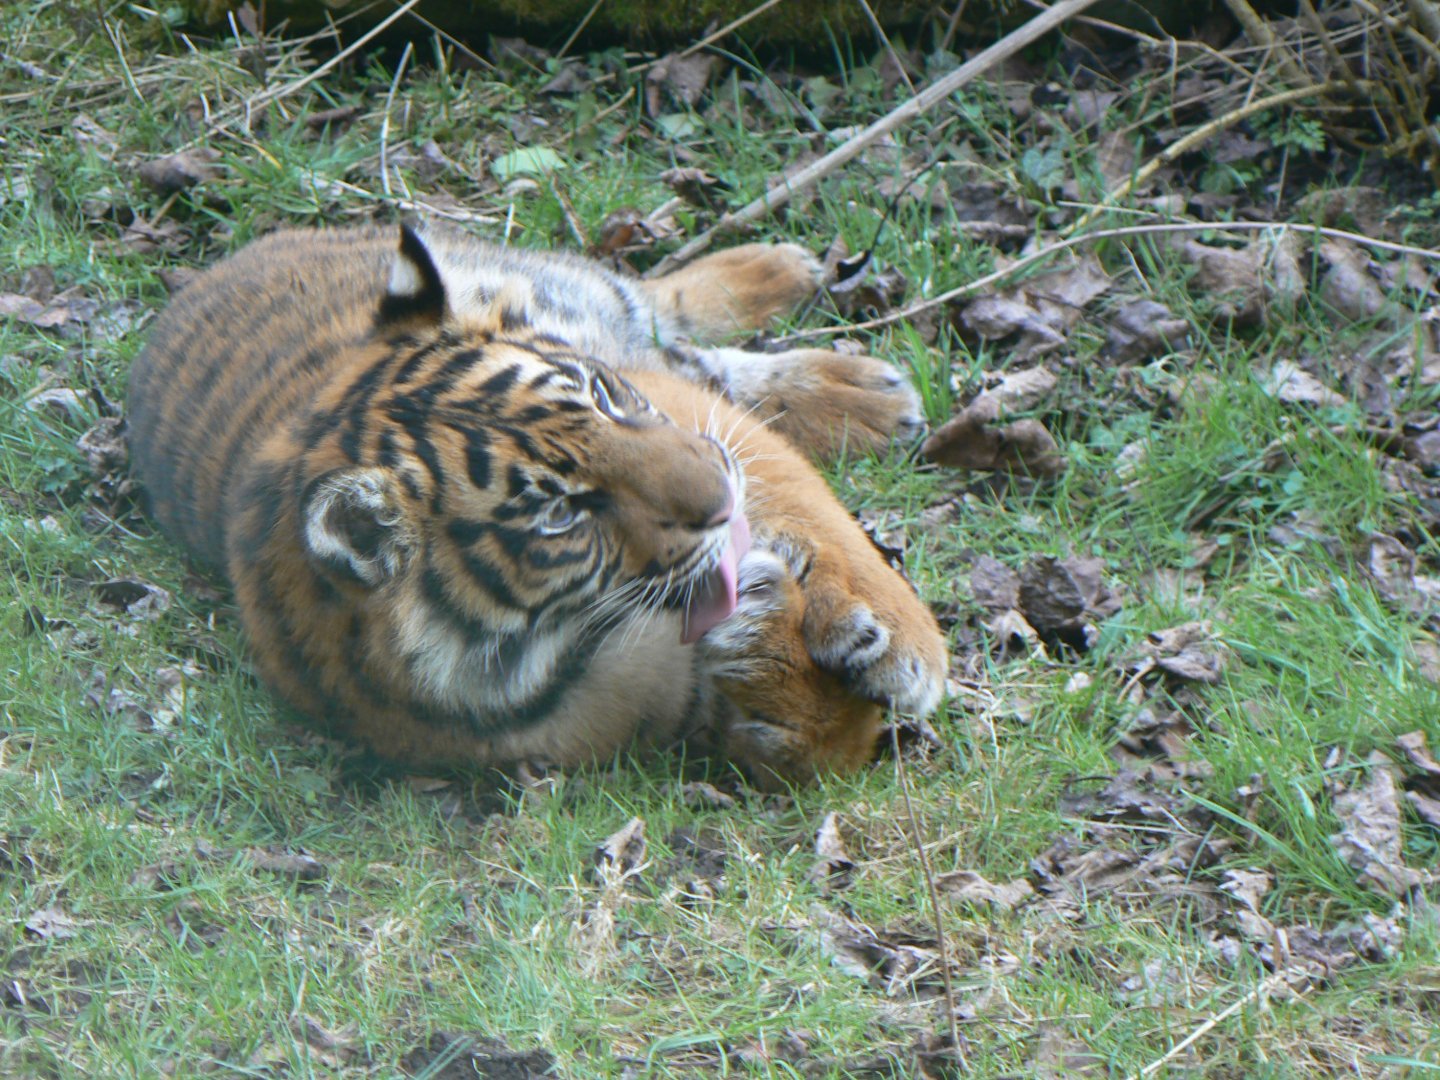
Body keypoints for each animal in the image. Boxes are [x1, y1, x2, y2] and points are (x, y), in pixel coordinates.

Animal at [126, 222, 947, 786]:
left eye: (602, 397)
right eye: (560, 515)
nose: (720, 501)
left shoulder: (677, 413)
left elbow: (794, 491)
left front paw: (906, 646)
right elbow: (829, 740)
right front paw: (761, 637)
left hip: (589, 298)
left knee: (666, 310)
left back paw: (800, 294)